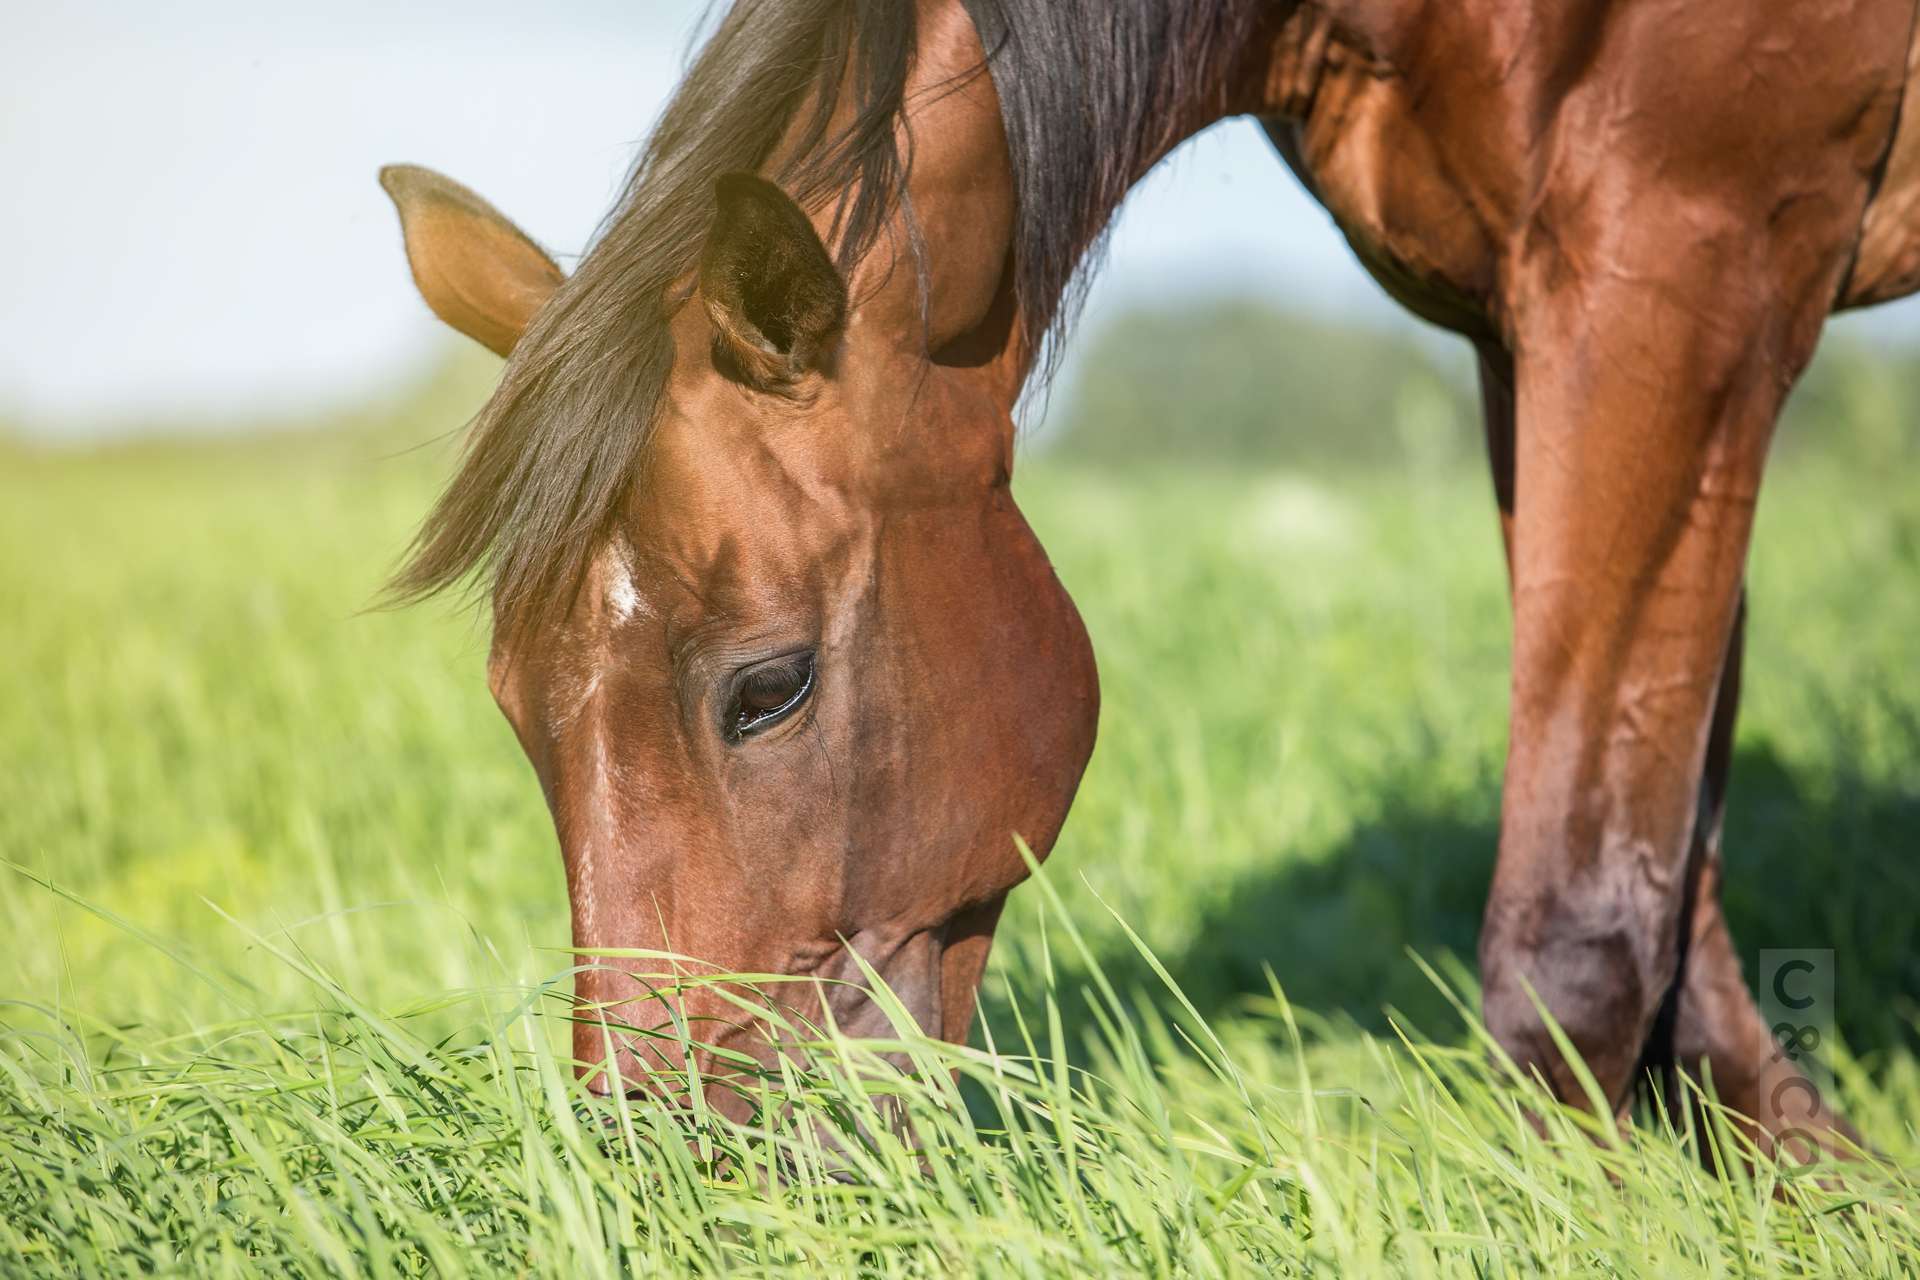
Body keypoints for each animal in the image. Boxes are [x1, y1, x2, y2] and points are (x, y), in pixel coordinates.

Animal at [374, 0, 1920, 1159]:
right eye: (517, 709)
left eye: (768, 688)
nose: (676, 1169)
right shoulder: (1526, 319)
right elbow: (1675, 838)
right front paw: (1799, 1174)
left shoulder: (1676, 268)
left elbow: (1581, 923)